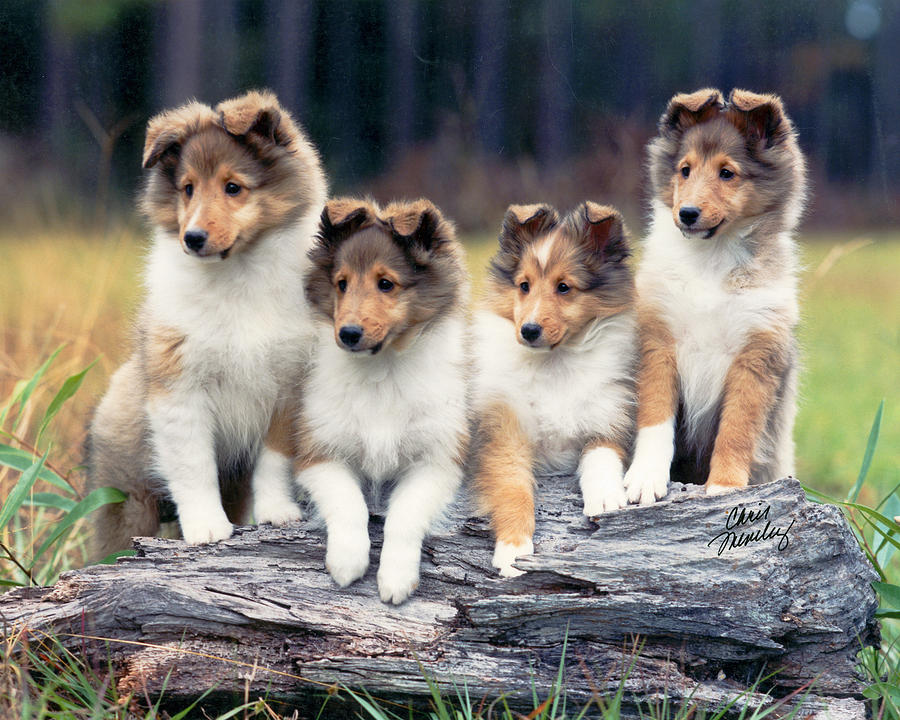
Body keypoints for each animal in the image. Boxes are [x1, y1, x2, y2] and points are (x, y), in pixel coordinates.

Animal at [85, 90, 326, 556]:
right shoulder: (178, 387)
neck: (237, 277)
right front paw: (206, 528)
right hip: (127, 500)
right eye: (187, 188)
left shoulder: (290, 386)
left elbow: (275, 459)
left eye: (233, 187)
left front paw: (277, 512)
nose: (192, 238)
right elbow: (193, 465)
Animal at [298, 195, 472, 600]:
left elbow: (404, 513)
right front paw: (347, 561)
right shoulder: (318, 453)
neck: (383, 371)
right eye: (341, 283)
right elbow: (349, 503)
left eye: (386, 283)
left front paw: (395, 578)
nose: (347, 334)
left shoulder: (437, 461)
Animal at [472, 204, 640, 580]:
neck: (554, 363)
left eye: (564, 287)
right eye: (524, 286)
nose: (529, 330)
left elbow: (601, 456)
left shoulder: (609, 415)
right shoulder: (504, 432)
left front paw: (605, 496)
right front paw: (513, 550)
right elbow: (512, 488)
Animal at [624, 87, 804, 504]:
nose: (687, 213)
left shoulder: (755, 355)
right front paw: (644, 479)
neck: (711, 258)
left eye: (727, 173)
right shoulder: (658, 341)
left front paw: (724, 487)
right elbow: (654, 418)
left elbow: (736, 429)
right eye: (685, 170)